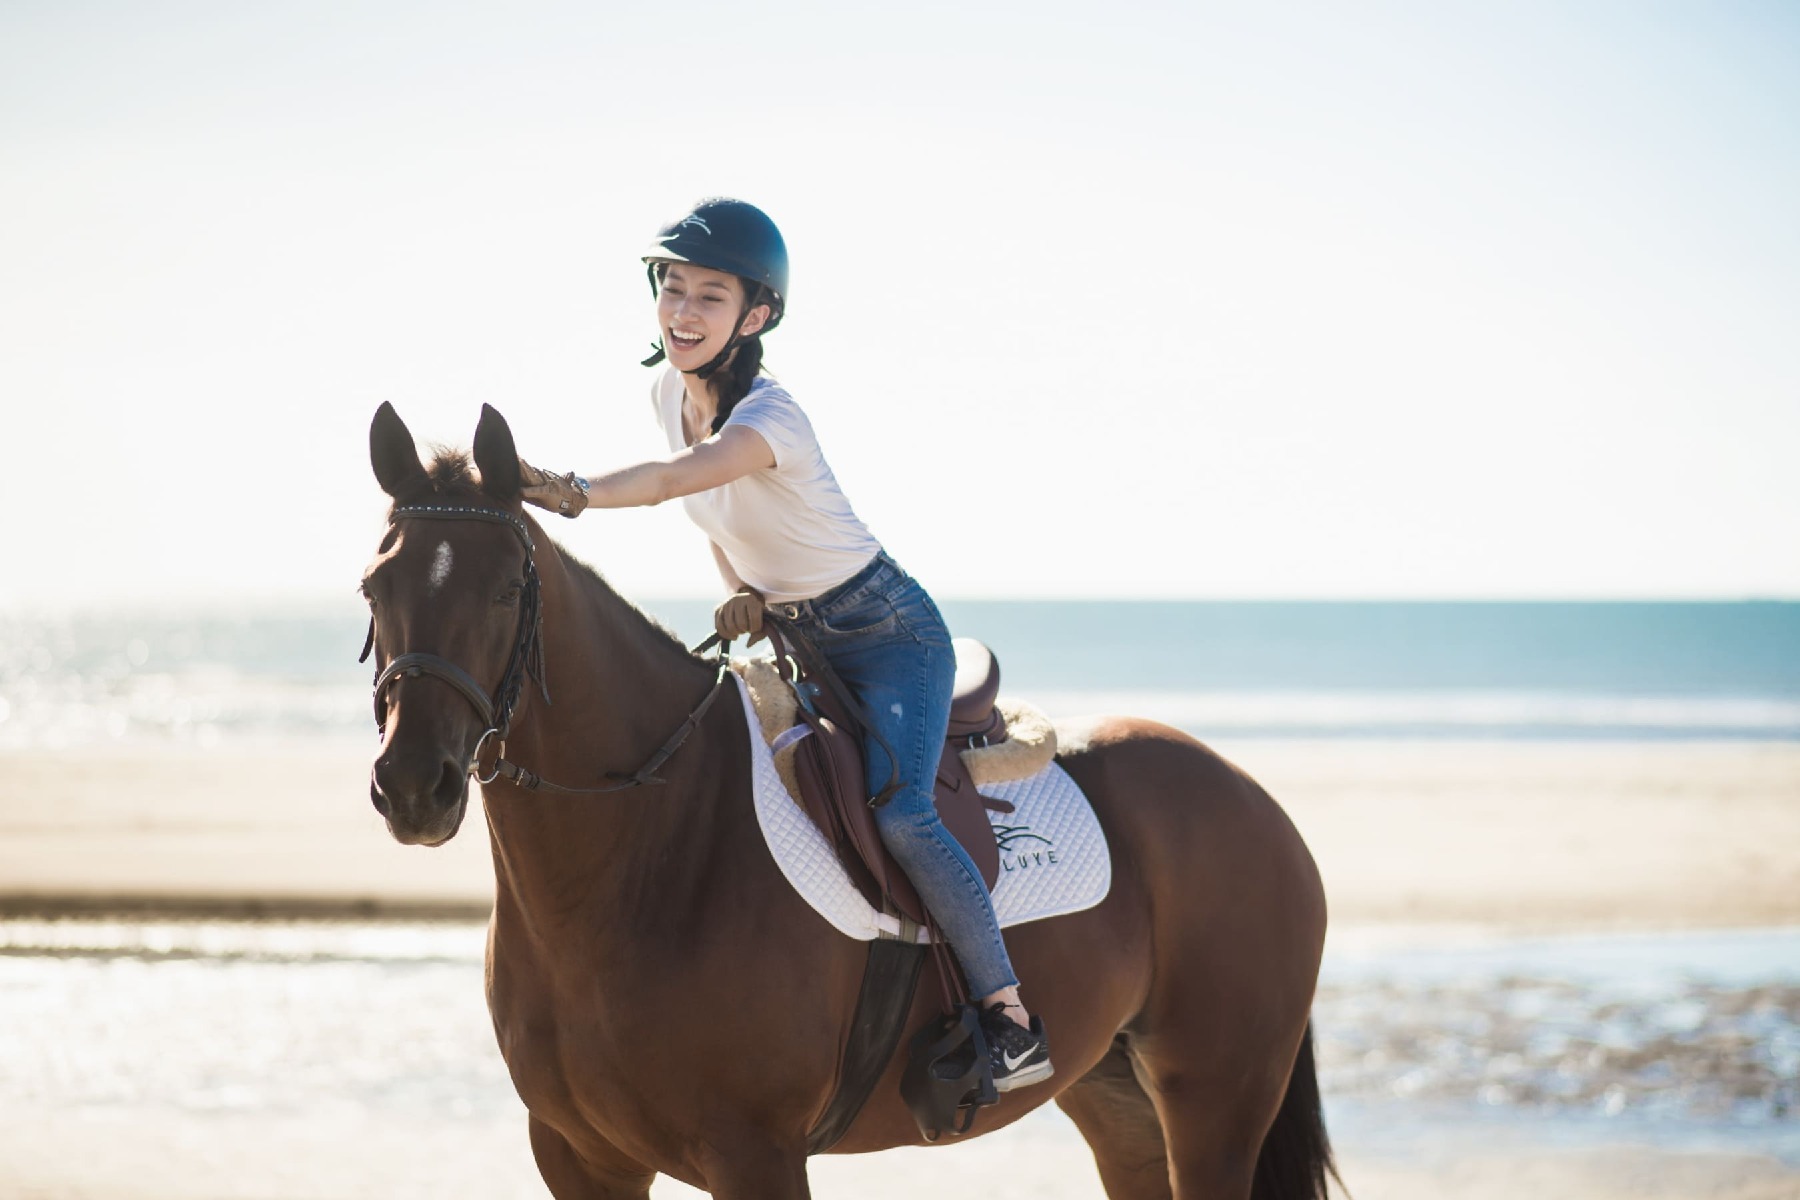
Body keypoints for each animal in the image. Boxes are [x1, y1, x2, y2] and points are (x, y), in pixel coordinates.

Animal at [358, 406, 1332, 1200]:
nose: (413, 785)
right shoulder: (579, 1159)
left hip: (1214, 1102)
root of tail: (1249, 795)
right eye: (375, 586)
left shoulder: (754, 1153)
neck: (646, 854)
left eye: (506, 589)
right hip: (1115, 1096)